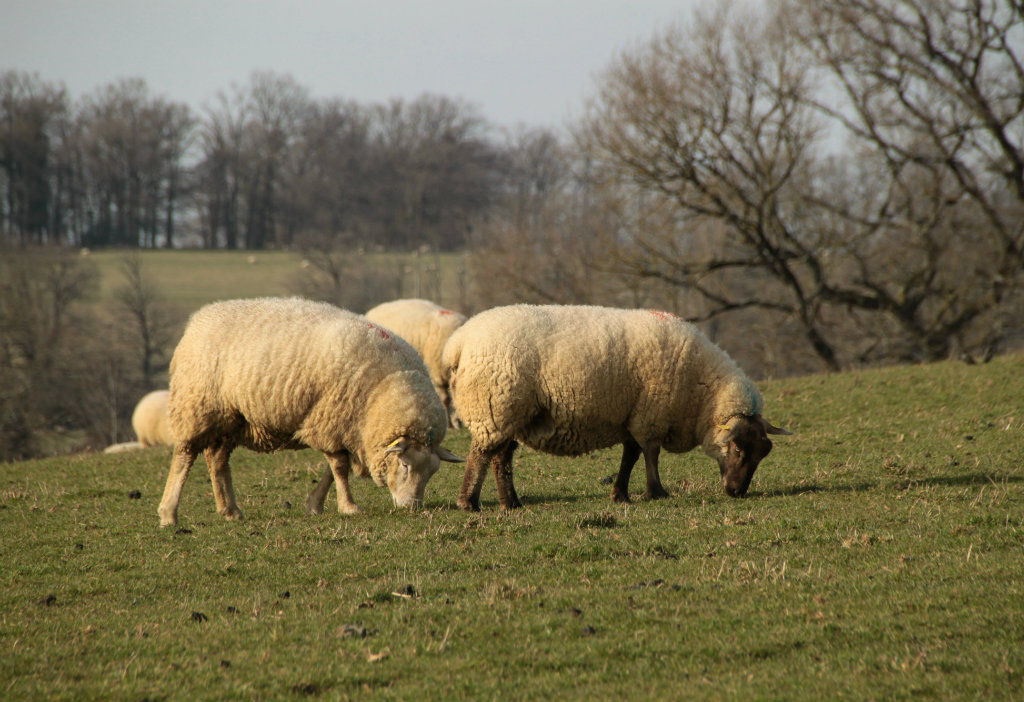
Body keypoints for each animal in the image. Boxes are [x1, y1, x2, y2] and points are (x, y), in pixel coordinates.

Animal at [441, 304, 789, 511]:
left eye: (762, 453)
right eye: (738, 449)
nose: (736, 491)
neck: (702, 392)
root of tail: (457, 344)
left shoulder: (632, 416)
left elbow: (630, 456)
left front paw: (620, 494)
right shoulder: (650, 415)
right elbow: (650, 454)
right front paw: (656, 492)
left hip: (512, 413)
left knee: (501, 457)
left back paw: (510, 502)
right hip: (494, 407)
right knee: (481, 455)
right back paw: (469, 502)